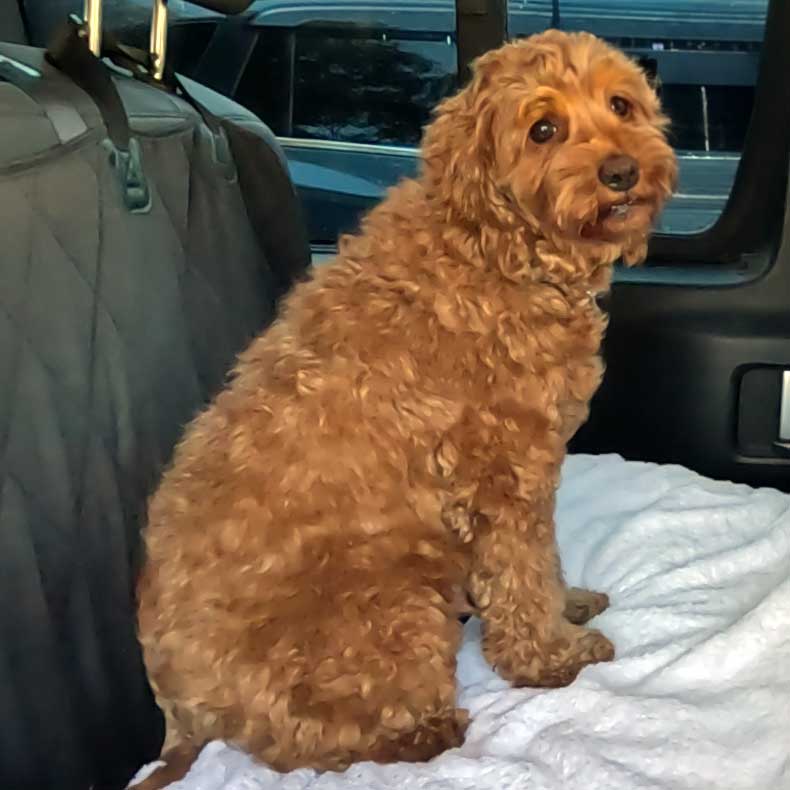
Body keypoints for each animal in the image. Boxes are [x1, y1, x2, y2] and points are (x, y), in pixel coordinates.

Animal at [133, 27, 676, 788]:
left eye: (620, 104)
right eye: (542, 129)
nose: (623, 171)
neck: (497, 249)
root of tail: (178, 716)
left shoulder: (527, 479)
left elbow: (544, 565)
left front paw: (567, 607)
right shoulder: (503, 481)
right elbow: (523, 577)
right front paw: (553, 655)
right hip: (391, 610)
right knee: (321, 745)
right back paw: (434, 730)